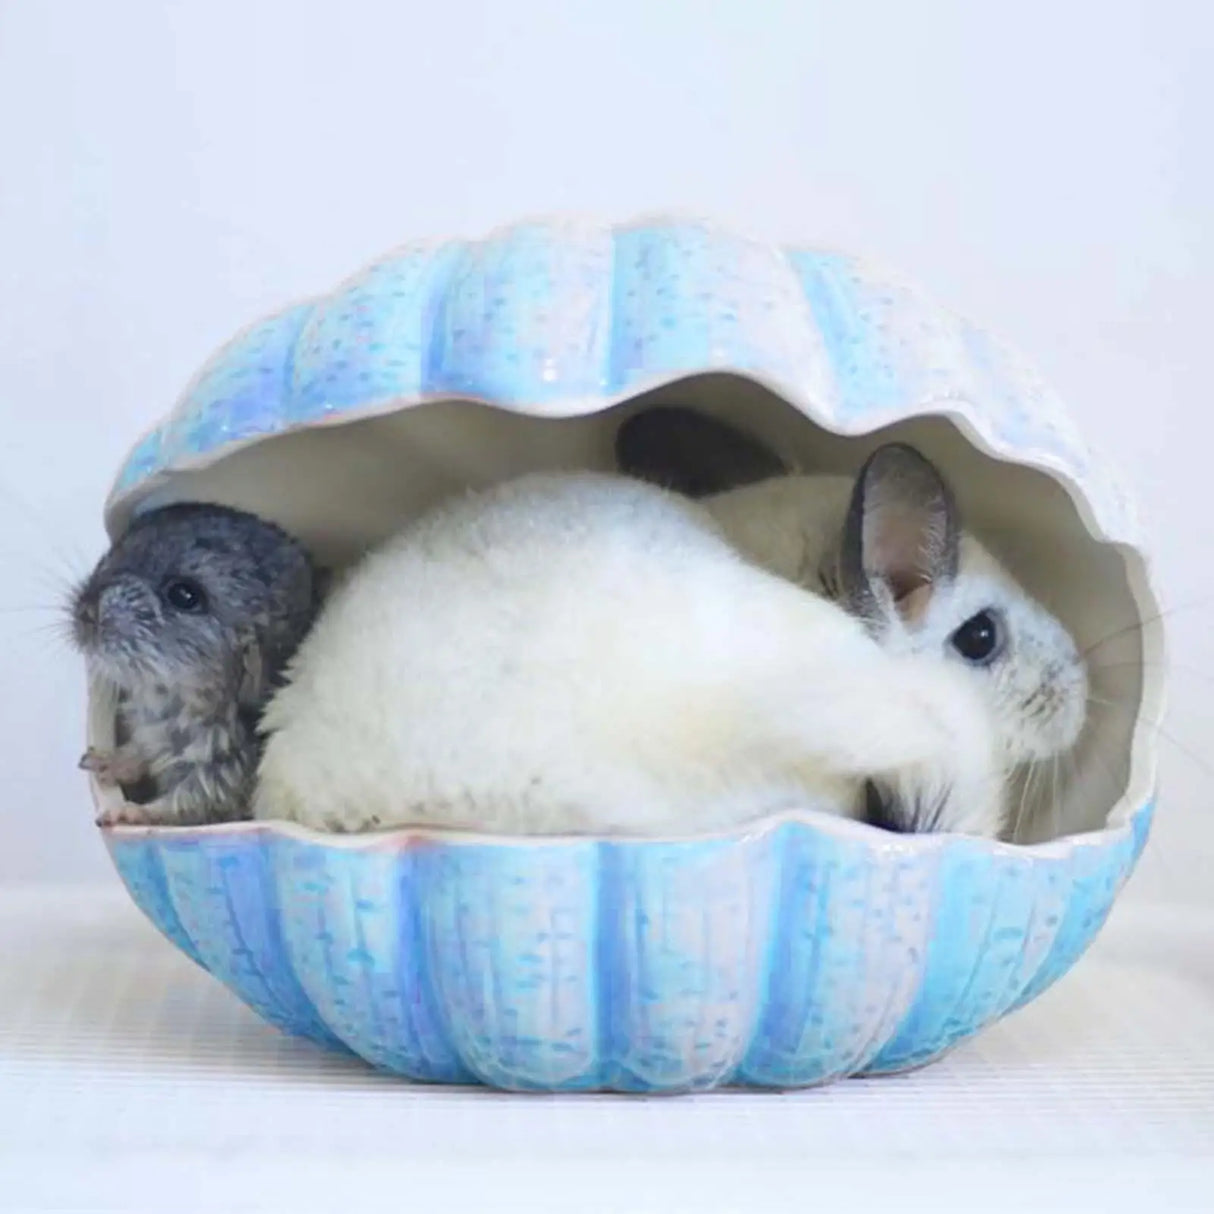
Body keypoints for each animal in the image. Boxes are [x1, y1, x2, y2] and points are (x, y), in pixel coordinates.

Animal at [70, 502, 322, 826]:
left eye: (184, 595)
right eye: (120, 548)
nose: (84, 613)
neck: (174, 702)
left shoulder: (223, 778)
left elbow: (181, 807)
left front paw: (128, 813)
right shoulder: (149, 734)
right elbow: (138, 753)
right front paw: (101, 761)